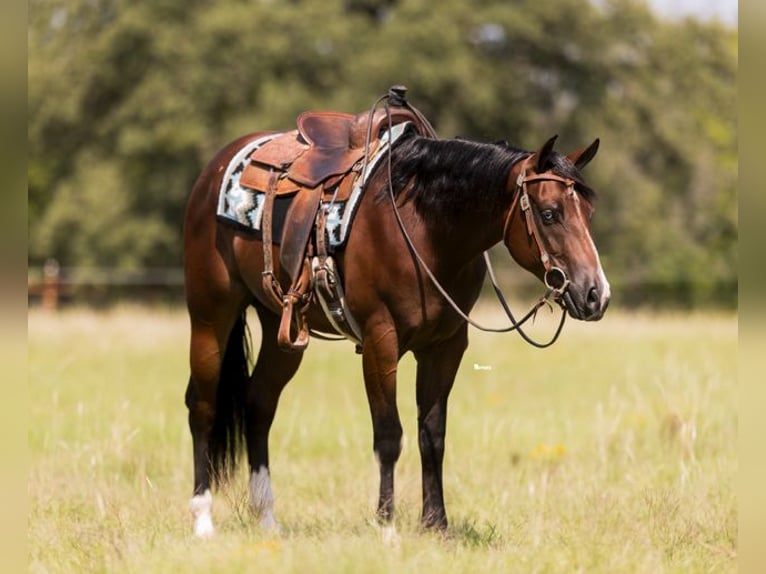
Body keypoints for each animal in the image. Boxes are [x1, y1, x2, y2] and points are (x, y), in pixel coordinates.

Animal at [183, 93, 610, 538]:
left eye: (588, 214)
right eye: (549, 213)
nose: (595, 294)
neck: (426, 231)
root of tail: (216, 168)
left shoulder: (446, 346)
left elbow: (432, 434)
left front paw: (436, 524)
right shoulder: (379, 341)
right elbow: (389, 434)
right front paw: (386, 526)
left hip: (282, 329)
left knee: (259, 403)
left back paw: (267, 520)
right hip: (211, 315)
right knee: (203, 405)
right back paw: (203, 520)